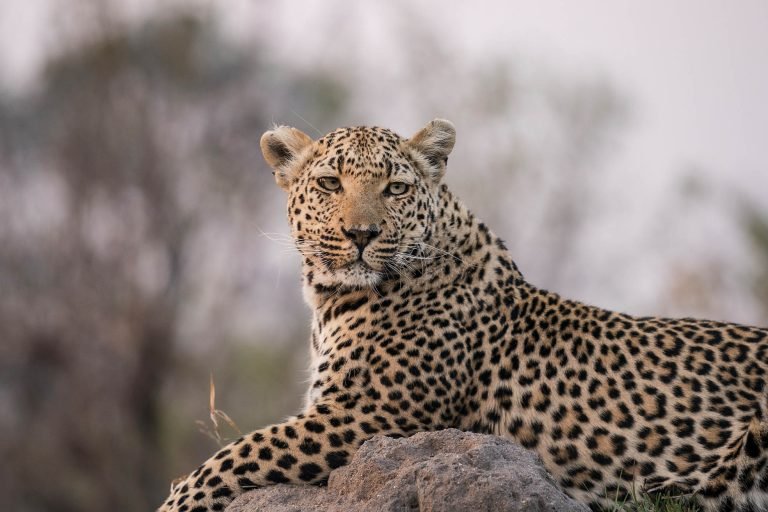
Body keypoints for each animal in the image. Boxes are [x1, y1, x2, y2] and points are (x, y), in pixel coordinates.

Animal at [159, 119, 768, 512]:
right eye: (330, 183)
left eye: (395, 188)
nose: (361, 235)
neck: (334, 300)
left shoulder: (368, 416)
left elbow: (232, 455)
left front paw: (175, 502)